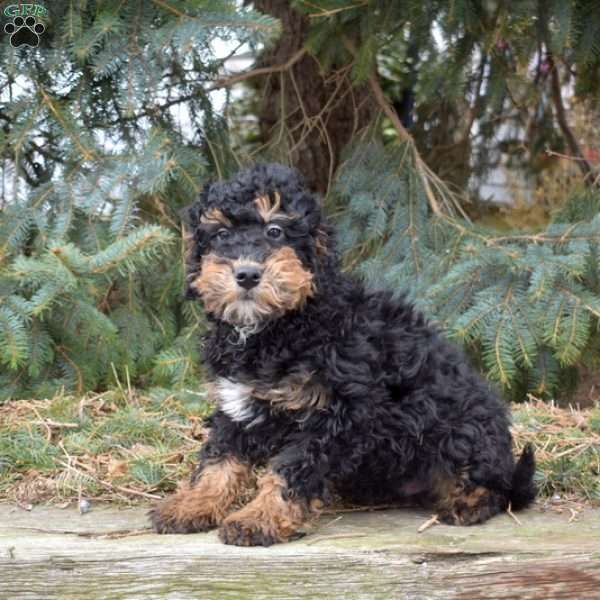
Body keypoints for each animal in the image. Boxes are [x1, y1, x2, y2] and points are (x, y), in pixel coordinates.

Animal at [149, 162, 536, 548]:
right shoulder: (236, 405)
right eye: (221, 234)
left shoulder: (337, 413)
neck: (279, 325)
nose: (246, 274)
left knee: (496, 487)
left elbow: (291, 469)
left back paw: (468, 503)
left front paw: (259, 519)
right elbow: (218, 460)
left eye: (276, 230)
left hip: (464, 429)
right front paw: (192, 504)